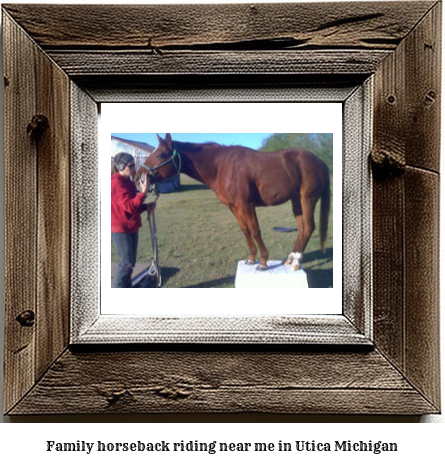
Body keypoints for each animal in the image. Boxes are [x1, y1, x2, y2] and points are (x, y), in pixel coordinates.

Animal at [139, 132, 330, 270]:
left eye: (161, 154)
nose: (140, 175)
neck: (221, 166)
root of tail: (320, 162)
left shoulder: (246, 205)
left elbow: (255, 230)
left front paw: (263, 262)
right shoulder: (234, 207)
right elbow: (245, 230)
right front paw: (251, 258)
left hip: (308, 199)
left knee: (309, 227)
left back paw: (297, 261)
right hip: (296, 201)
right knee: (302, 228)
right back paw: (290, 258)